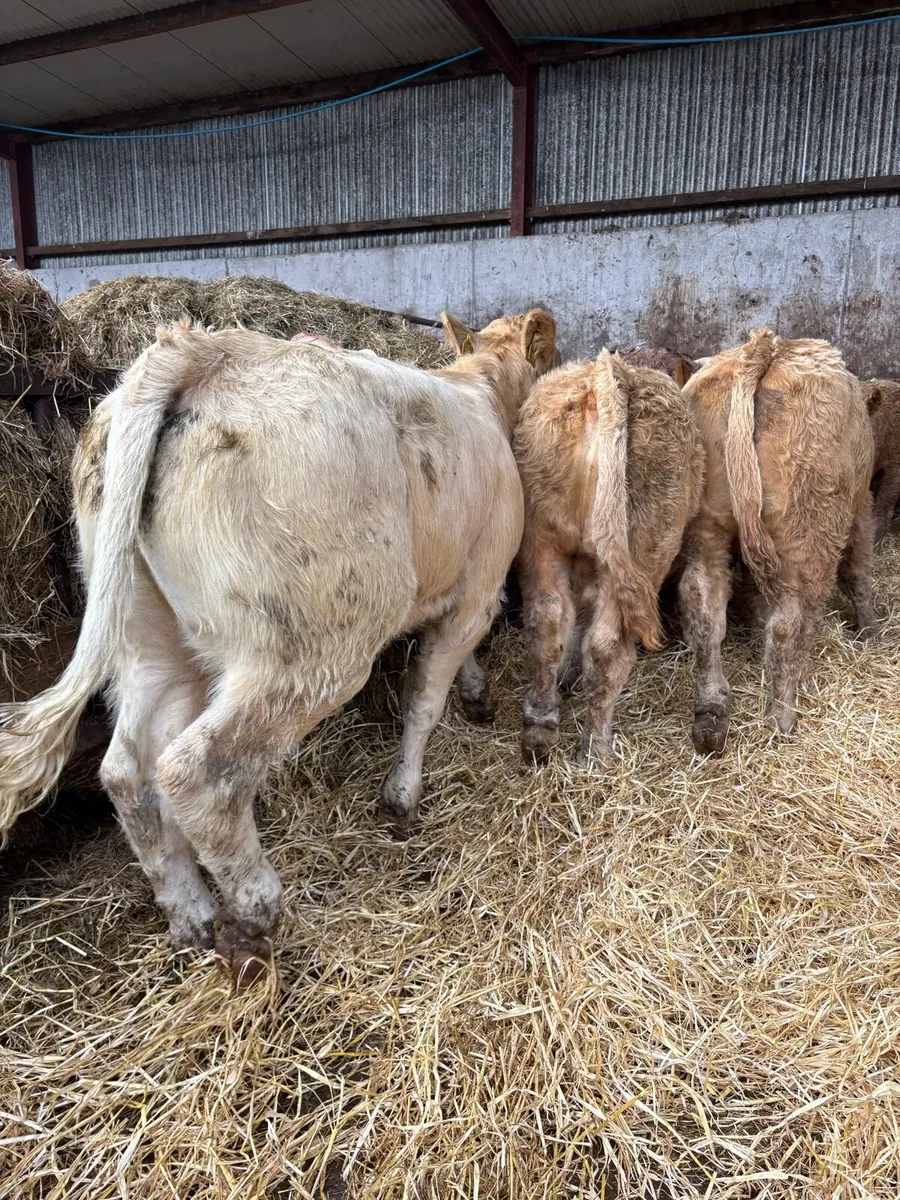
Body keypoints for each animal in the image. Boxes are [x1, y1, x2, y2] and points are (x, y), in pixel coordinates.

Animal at [0, 310, 559, 974]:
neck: (481, 392)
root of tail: (200, 349)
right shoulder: (477, 589)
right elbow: (424, 698)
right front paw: (402, 798)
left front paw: (474, 693)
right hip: (313, 646)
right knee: (198, 770)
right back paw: (253, 914)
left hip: (149, 636)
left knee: (126, 771)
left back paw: (192, 918)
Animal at [514, 350, 704, 764]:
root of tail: (611, 371)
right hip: (646, 548)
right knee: (608, 647)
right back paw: (594, 747)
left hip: (540, 536)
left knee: (547, 620)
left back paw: (540, 723)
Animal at [679, 329, 874, 755]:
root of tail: (765, 349)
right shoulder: (861, 509)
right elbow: (858, 572)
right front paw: (872, 632)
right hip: (808, 538)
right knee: (789, 623)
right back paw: (783, 716)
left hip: (706, 527)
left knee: (704, 603)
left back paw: (710, 717)